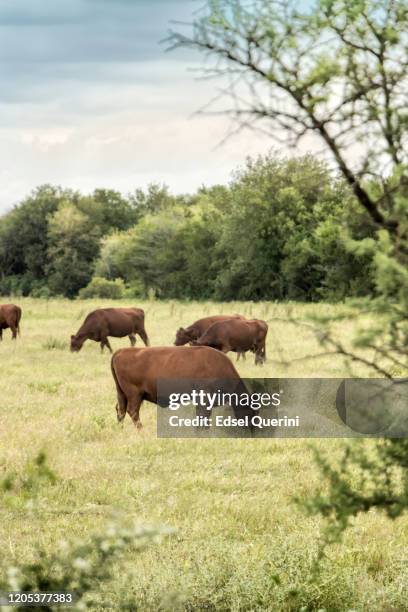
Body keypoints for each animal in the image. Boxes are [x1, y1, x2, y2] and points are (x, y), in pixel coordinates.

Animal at [110, 344, 250, 430]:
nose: (251, 430)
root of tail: (121, 351)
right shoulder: (204, 398)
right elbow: (203, 415)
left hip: (121, 393)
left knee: (121, 410)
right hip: (135, 395)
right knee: (132, 411)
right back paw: (141, 430)